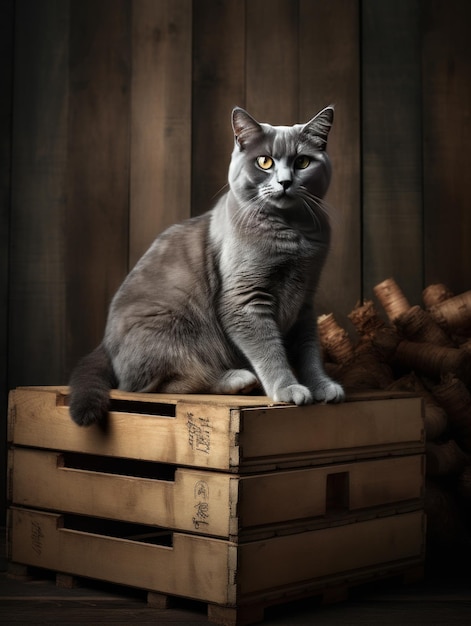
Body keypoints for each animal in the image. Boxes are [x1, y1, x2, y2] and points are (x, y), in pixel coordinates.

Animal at [68, 108, 344, 424]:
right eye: (265, 162)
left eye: (302, 162)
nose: (285, 182)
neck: (292, 233)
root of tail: (104, 344)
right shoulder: (244, 299)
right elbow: (269, 350)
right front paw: (288, 389)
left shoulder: (305, 300)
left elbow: (310, 350)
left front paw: (323, 385)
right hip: (171, 330)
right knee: (163, 383)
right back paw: (239, 380)